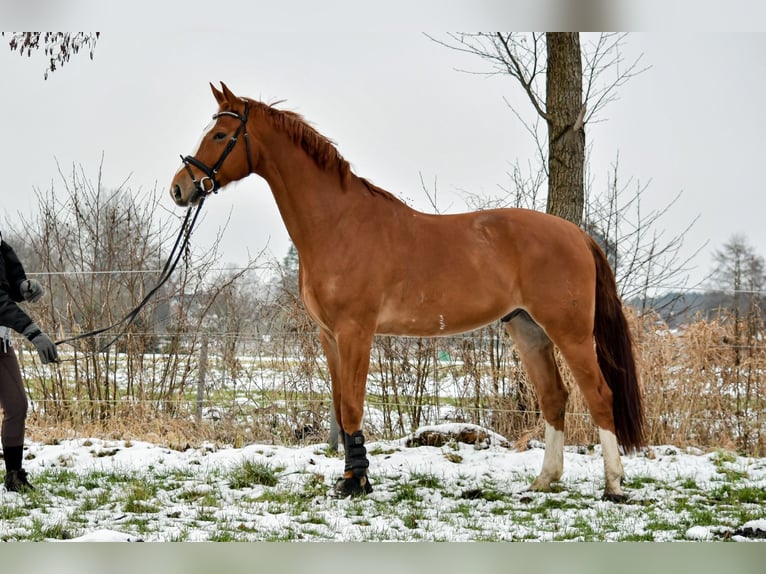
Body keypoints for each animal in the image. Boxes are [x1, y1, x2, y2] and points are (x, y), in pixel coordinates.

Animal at [171, 83, 644, 502]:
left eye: (219, 134)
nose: (180, 187)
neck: (338, 224)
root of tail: (577, 235)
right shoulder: (330, 336)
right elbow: (340, 408)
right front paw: (351, 478)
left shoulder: (356, 332)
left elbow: (353, 406)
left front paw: (356, 484)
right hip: (527, 329)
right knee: (554, 397)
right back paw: (544, 482)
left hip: (571, 332)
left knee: (599, 395)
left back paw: (613, 486)